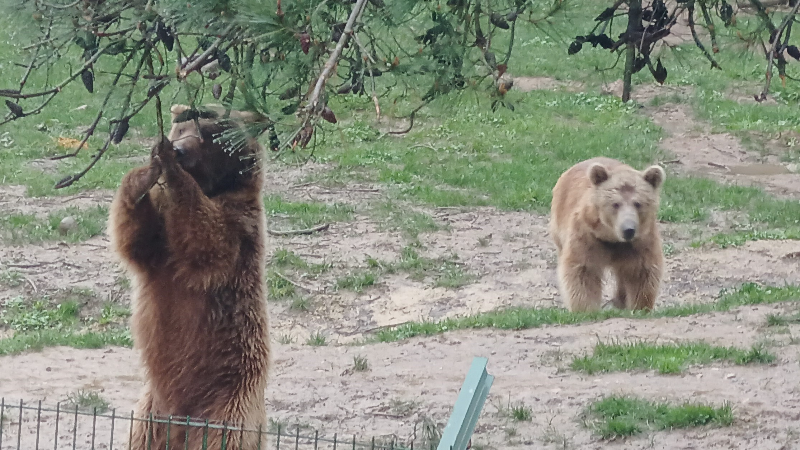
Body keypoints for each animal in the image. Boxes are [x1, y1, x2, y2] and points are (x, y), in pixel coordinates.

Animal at [108, 103, 270, 450]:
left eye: (208, 134)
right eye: (181, 128)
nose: (179, 150)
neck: (215, 186)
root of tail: (180, 426)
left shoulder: (240, 223)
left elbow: (206, 239)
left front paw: (172, 169)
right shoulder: (160, 247)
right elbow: (134, 238)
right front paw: (147, 170)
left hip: (230, 404)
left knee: (226, 436)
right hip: (150, 416)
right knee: (140, 435)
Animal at [552, 157, 668, 312]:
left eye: (638, 203)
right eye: (615, 204)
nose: (628, 229)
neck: (612, 238)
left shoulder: (641, 241)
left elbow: (642, 272)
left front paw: (639, 307)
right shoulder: (588, 236)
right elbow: (583, 270)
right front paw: (586, 309)